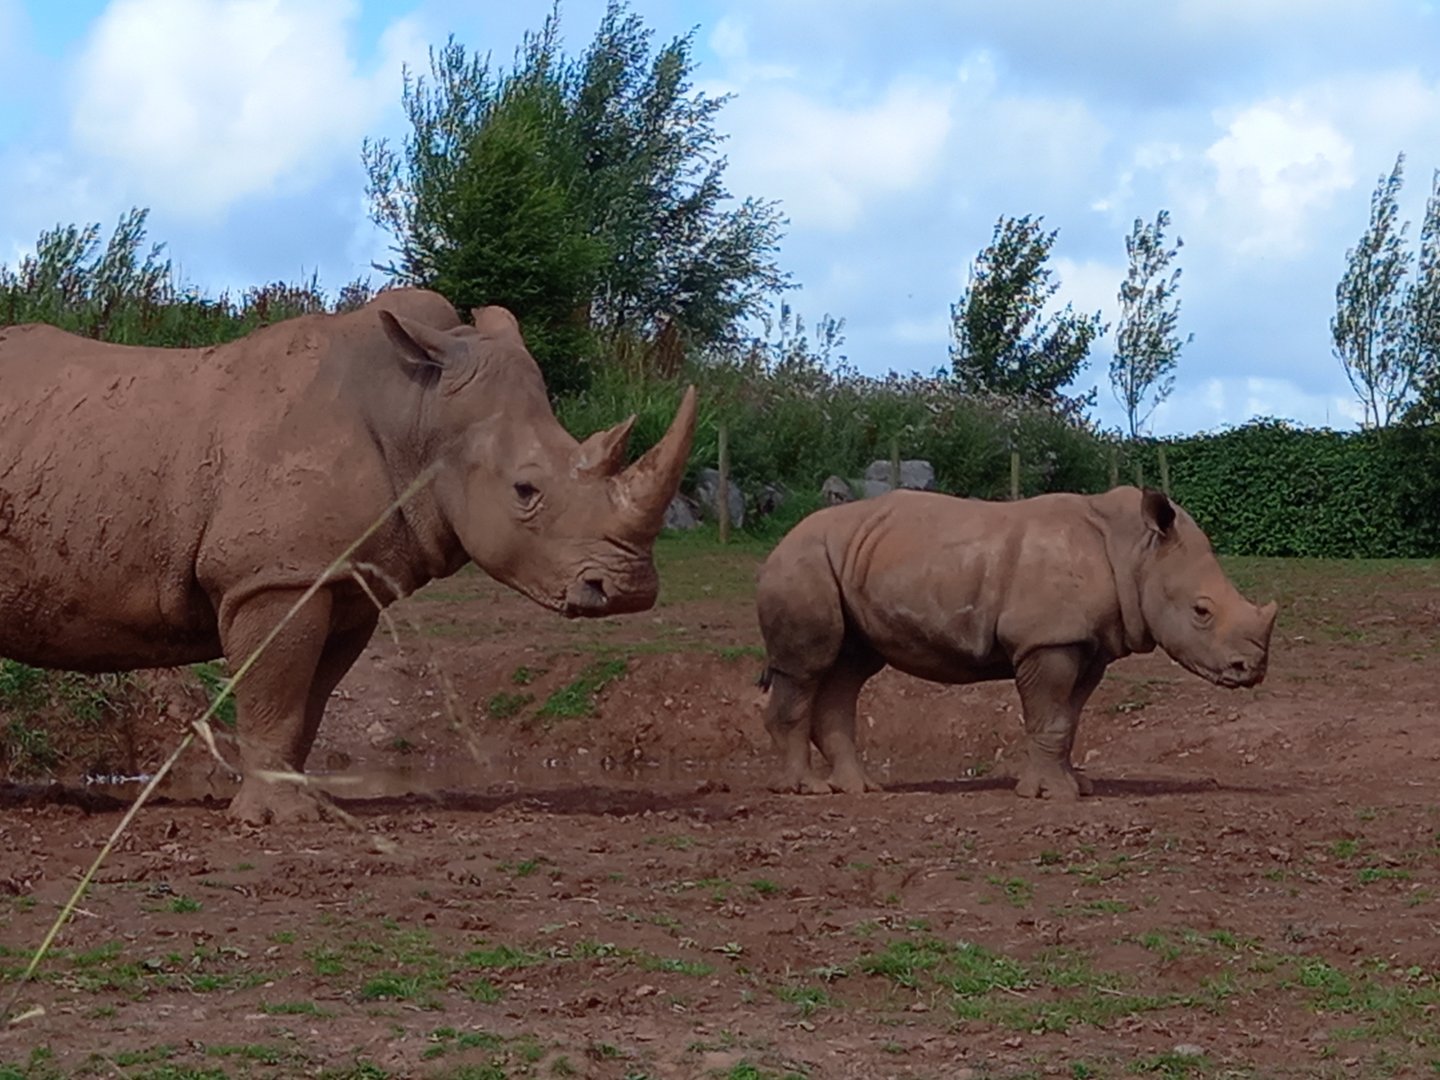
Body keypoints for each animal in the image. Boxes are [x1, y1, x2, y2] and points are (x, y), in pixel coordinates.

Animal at [0, 288, 696, 824]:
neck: (418, 413)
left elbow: (308, 701)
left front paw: (310, 808)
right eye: (526, 491)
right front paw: (274, 821)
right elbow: (275, 694)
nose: (630, 590)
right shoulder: (275, 575)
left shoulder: (346, 580)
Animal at [755, 486, 1277, 799]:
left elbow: (1067, 718)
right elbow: (1049, 713)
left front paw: (1075, 785)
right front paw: (1055, 795)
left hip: (848, 560)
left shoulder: (1086, 643)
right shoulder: (1047, 640)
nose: (1251, 670)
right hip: (803, 561)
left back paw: (861, 788)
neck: (1134, 552)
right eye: (1201, 611)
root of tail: (779, 542)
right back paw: (807, 790)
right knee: (807, 667)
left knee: (849, 669)